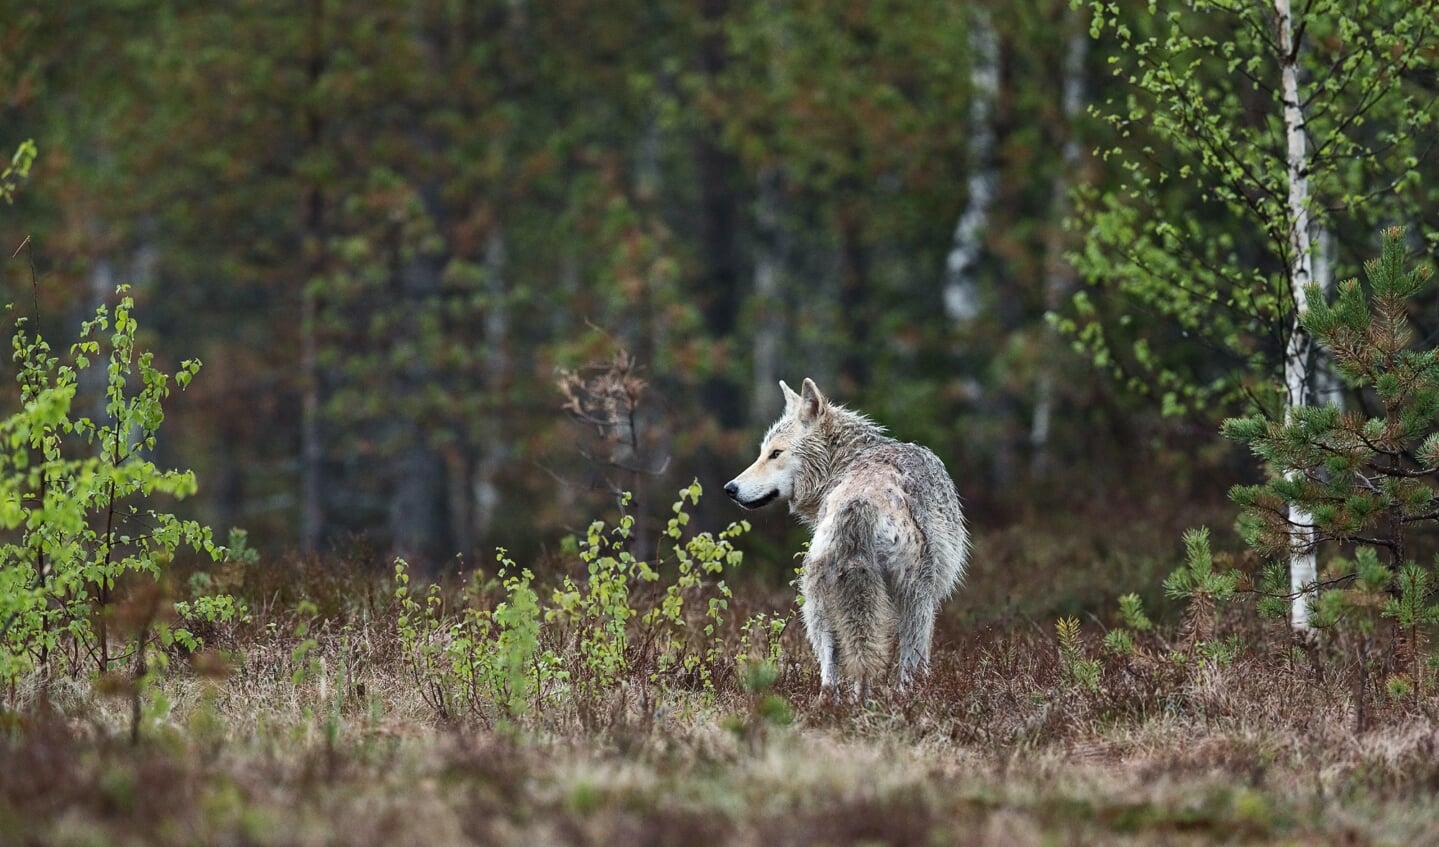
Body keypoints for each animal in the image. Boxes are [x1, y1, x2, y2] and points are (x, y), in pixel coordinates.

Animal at [725, 376, 972, 693]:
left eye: (775, 453)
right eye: (763, 453)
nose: (729, 488)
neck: (845, 460)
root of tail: (859, 502)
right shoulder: (927, 597)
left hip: (819, 604)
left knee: (833, 669)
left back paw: (835, 702)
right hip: (915, 599)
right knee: (903, 666)